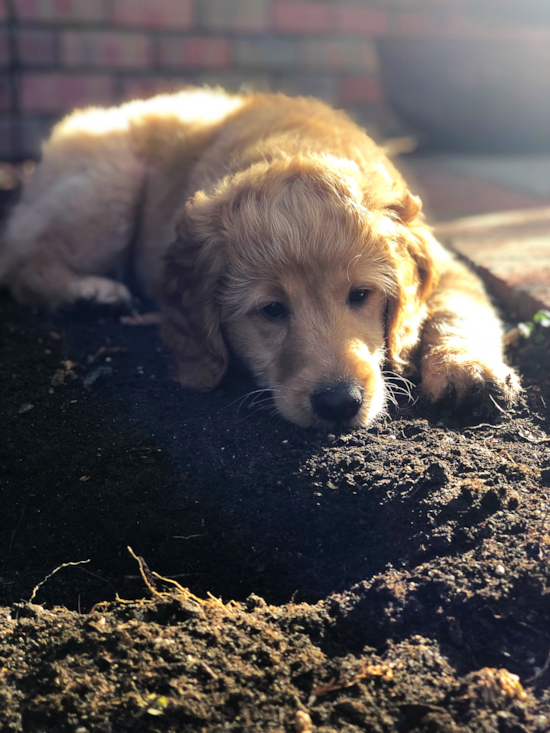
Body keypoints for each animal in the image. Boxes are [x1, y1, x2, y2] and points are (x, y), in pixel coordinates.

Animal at [0, 88, 520, 426]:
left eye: (361, 295)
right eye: (271, 310)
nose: (339, 404)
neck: (292, 147)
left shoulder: (449, 263)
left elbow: (457, 307)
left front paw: (467, 369)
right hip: (107, 187)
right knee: (23, 262)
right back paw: (87, 293)